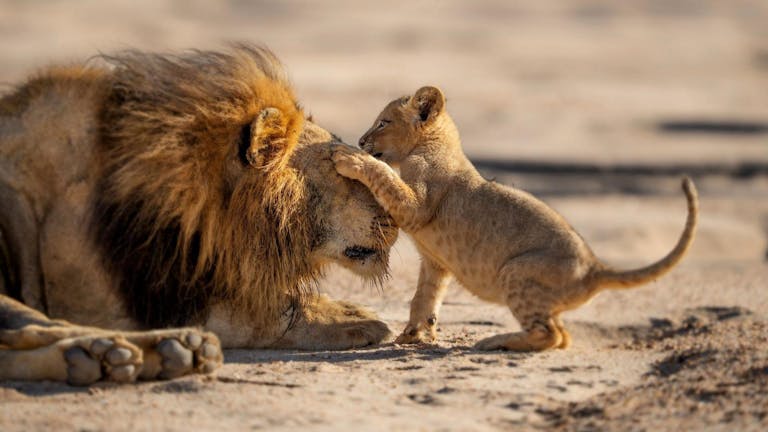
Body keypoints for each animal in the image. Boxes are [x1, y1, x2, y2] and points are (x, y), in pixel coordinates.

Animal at [0, 45, 398, 385]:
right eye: (341, 170)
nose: (395, 219)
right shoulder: (108, 299)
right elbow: (264, 312)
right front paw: (354, 321)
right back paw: (137, 351)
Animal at [331, 85, 698, 351]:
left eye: (383, 122)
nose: (361, 139)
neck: (433, 145)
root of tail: (595, 268)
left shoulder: (417, 205)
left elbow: (384, 175)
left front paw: (349, 157)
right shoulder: (436, 262)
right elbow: (425, 296)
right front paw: (414, 335)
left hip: (517, 272)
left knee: (550, 335)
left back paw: (495, 342)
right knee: (563, 336)